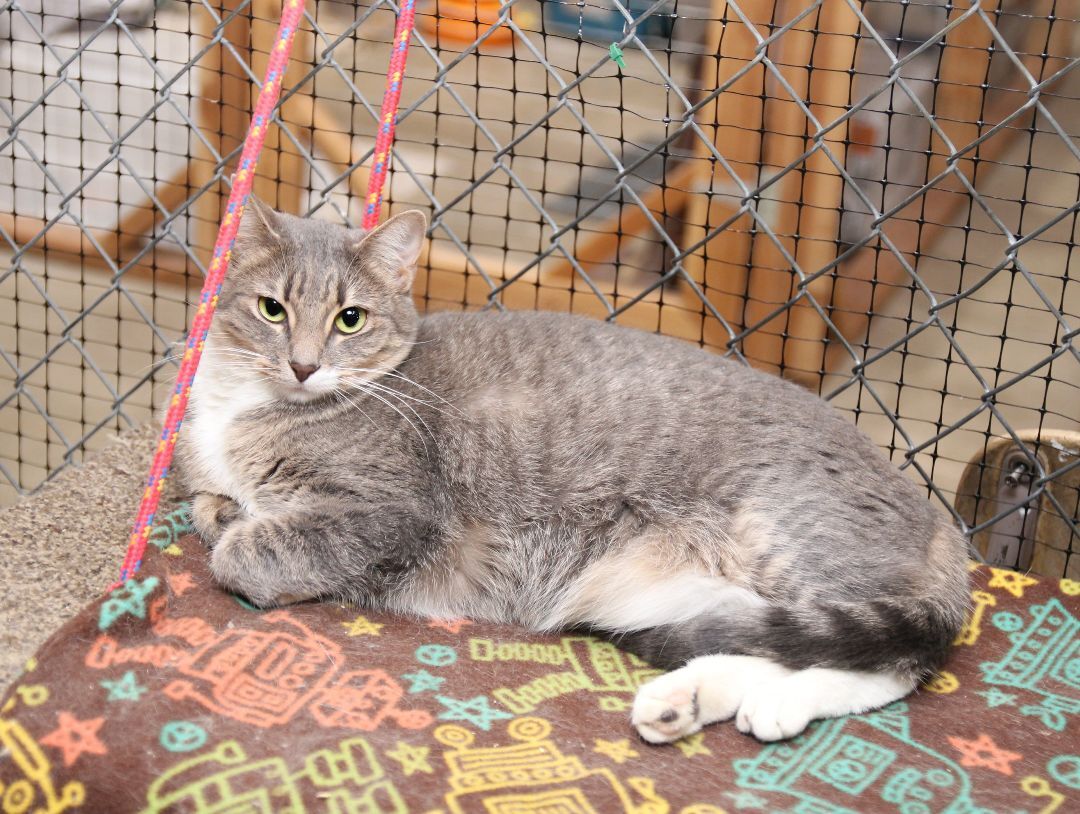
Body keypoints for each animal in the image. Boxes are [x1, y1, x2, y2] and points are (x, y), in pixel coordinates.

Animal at [174, 201, 972, 742]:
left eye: (350, 319)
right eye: (271, 309)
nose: (304, 365)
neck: (245, 409)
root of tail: (941, 527)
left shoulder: (390, 511)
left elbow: (243, 550)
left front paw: (247, 542)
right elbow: (210, 508)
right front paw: (228, 508)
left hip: (791, 539)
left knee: (901, 660)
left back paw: (769, 703)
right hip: (668, 594)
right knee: (756, 638)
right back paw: (690, 700)